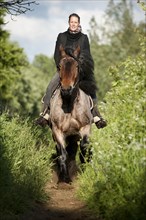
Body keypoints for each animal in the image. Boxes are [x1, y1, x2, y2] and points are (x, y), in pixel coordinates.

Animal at [49, 45, 93, 183]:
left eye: (77, 66)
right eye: (59, 66)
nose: (66, 89)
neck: (69, 106)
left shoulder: (85, 127)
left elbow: (84, 147)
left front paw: (84, 169)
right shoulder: (57, 130)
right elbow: (63, 154)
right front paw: (65, 179)